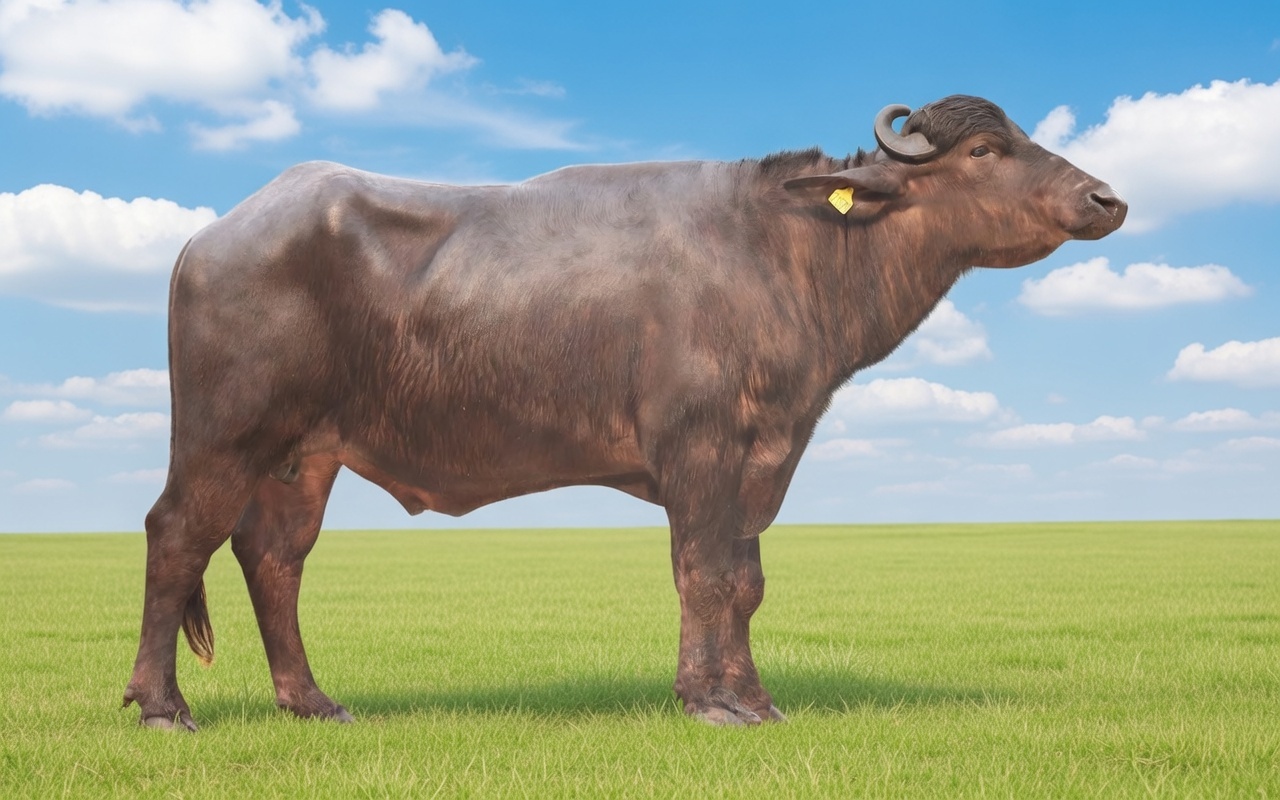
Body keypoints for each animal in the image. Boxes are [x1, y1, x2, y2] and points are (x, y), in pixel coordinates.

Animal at [123, 95, 1126, 730]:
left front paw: (756, 697)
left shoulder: (767, 454)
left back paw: (312, 702)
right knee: (176, 536)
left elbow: (746, 581)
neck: (789, 249)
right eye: (985, 153)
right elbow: (706, 576)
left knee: (273, 558)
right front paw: (712, 703)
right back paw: (163, 707)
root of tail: (214, 233)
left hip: (303, 454)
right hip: (225, 434)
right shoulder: (701, 450)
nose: (1106, 196)